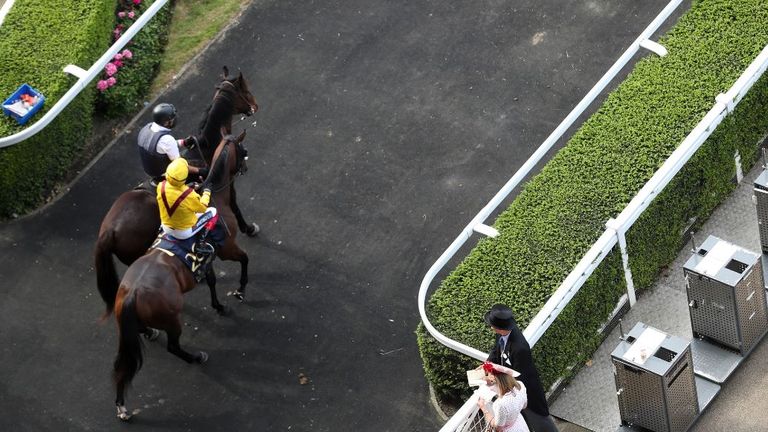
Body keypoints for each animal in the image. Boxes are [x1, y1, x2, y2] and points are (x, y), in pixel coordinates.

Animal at [93, 66, 260, 314]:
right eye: (245, 89)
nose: (254, 105)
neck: (207, 149)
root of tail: (108, 230)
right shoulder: (227, 186)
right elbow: (236, 207)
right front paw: (249, 228)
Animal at [112, 131, 249, 418]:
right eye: (241, 146)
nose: (246, 162)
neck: (215, 198)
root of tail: (132, 294)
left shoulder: (206, 257)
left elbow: (211, 280)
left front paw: (219, 306)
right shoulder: (226, 248)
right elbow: (244, 260)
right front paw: (241, 290)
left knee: (124, 362)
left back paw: (121, 404)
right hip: (171, 318)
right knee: (173, 346)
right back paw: (196, 357)